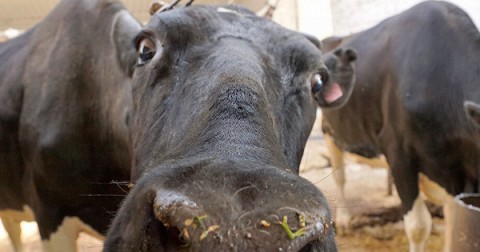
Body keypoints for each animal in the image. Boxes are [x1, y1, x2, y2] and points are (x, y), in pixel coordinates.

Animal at [318, 0, 480, 251]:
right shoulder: (399, 153)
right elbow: (418, 226)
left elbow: (453, 222)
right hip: (329, 132)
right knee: (340, 176)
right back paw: (343, 221)